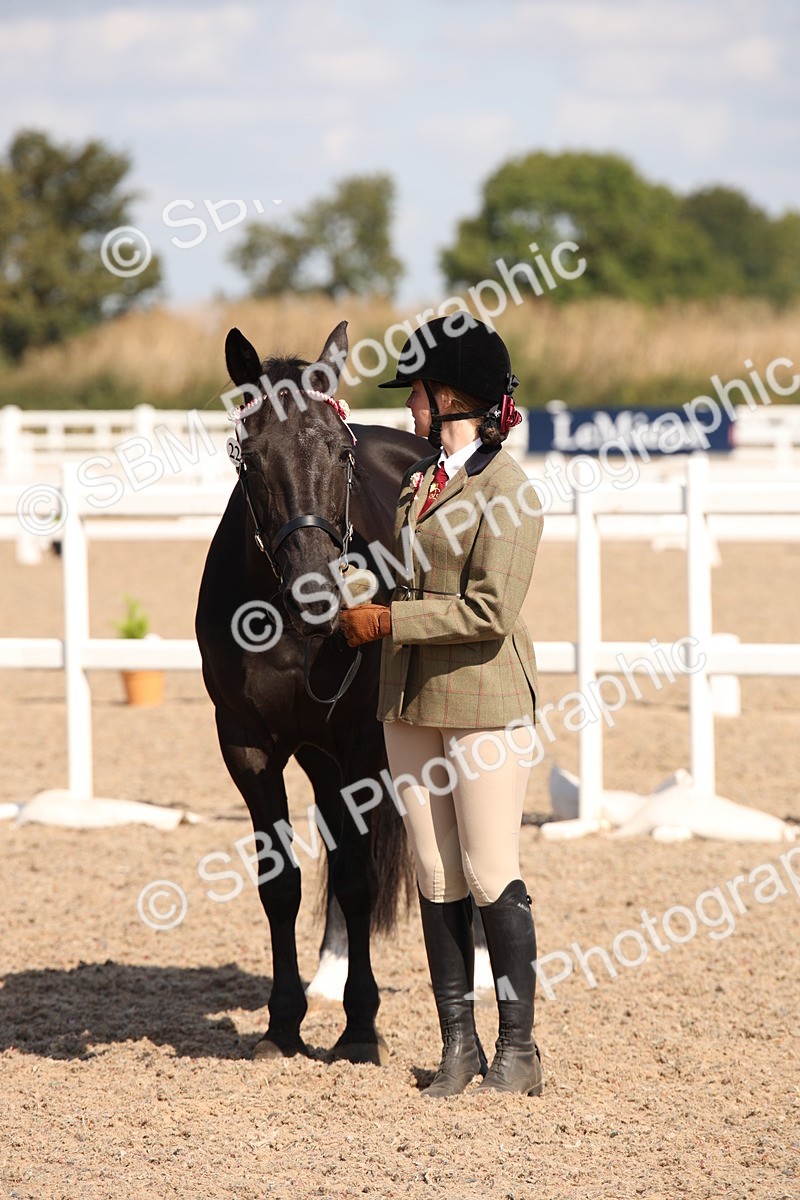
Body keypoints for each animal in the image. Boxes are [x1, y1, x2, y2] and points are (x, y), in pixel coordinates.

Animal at [195, 321, 425, 1064]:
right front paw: (284, 1022)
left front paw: (360, 1028)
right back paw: (328, 974)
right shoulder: (248, 747)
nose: (319, 593)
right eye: (250, 457)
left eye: (341, 451)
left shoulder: (360, 744)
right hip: (319, 759)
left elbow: (357, 878)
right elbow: (283, 884)